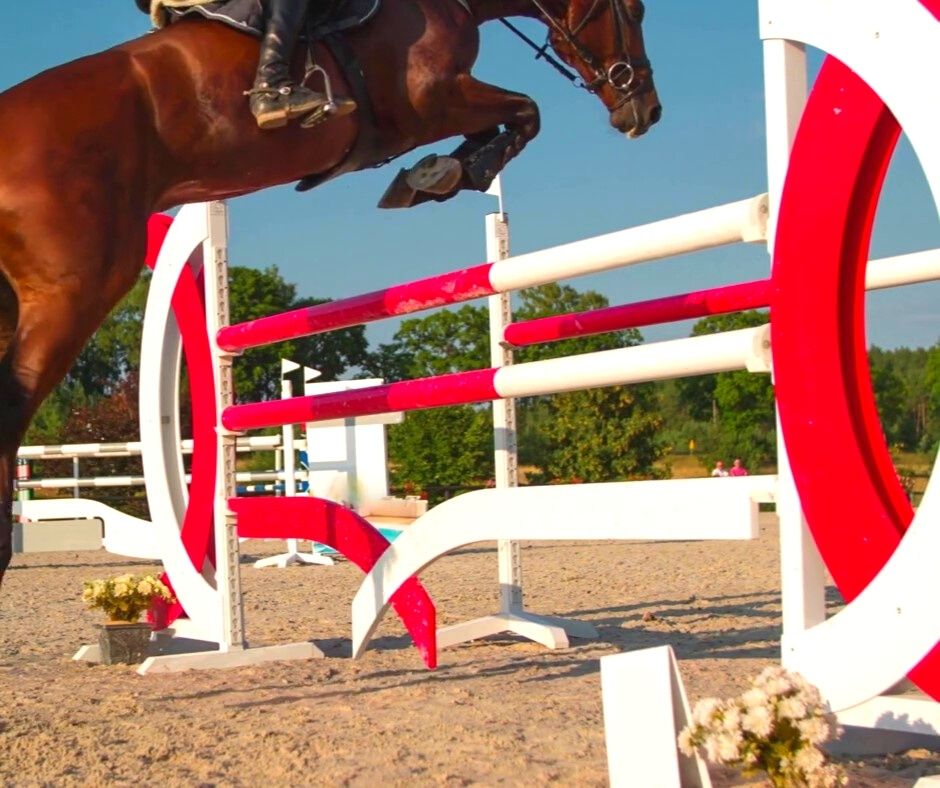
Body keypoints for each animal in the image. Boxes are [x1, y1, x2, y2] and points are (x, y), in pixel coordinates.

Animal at [0, 0, 660, 580]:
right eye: (634, 10)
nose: (645, 112)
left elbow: (515, 117)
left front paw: (437, 174)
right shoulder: (433, 99)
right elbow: (526, 111)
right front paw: (447, 172)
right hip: (78, 288)